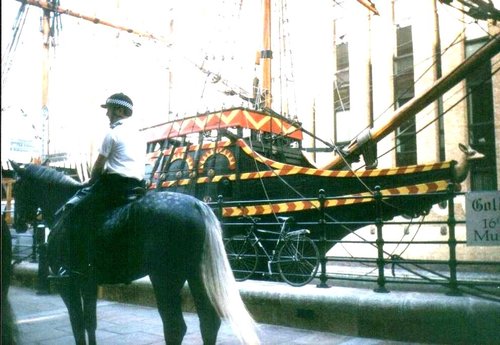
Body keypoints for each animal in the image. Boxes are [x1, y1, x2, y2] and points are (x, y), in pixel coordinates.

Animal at [12, 162, 258, 344]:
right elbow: (90, 323)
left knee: (175, 327)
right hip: (196, 275)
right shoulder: (88, 282)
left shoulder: (67, 284)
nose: (17, 224)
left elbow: (78, 325)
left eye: (15, 188)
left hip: (165, 278)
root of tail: (198, 206)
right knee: (208, 322)